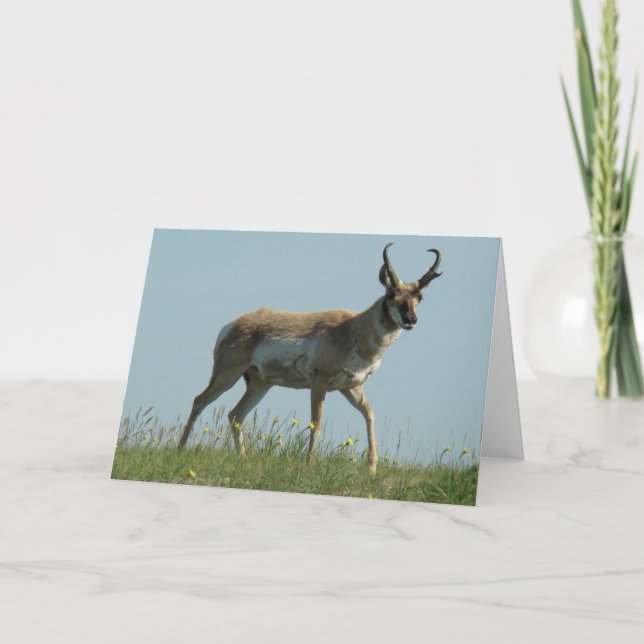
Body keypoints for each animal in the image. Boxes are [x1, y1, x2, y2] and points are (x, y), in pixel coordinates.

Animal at [178, 243, 442, 474]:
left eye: (419, 297)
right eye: (391, 294)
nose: (410, 320)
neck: (354, 328)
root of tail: (232, 324)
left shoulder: (352, 387)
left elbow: (369, 414)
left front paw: (372, 468)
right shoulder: (320, 381)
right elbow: (317, 421)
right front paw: (309, 463)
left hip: (260, 384)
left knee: (235, 415)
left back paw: (243, 458)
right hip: (226, 375)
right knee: (200, 401)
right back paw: (180, 448)